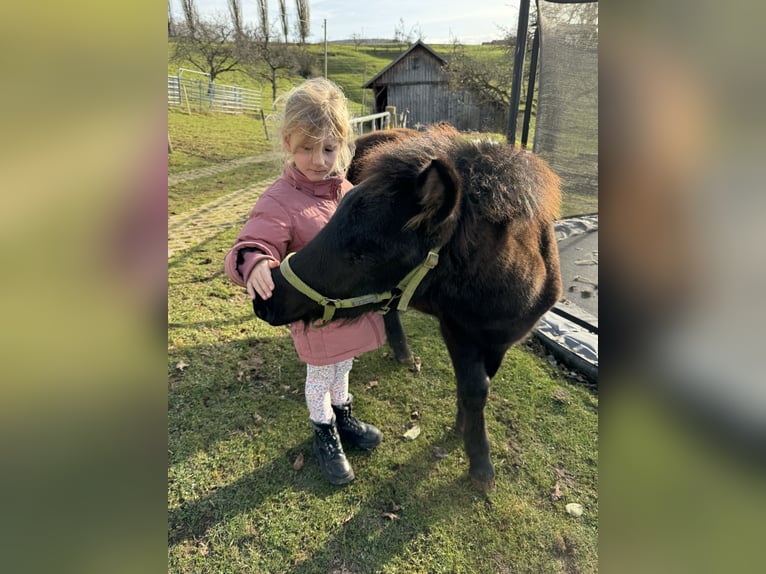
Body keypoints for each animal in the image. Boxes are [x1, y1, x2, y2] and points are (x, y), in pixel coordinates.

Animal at [255, 125, 560, 490]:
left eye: (364, 252)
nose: (266, 298)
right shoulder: (455, 330)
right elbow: (474, 388)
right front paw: (480, 465)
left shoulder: (501, 342)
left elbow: (479, 386)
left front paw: (465, 435)